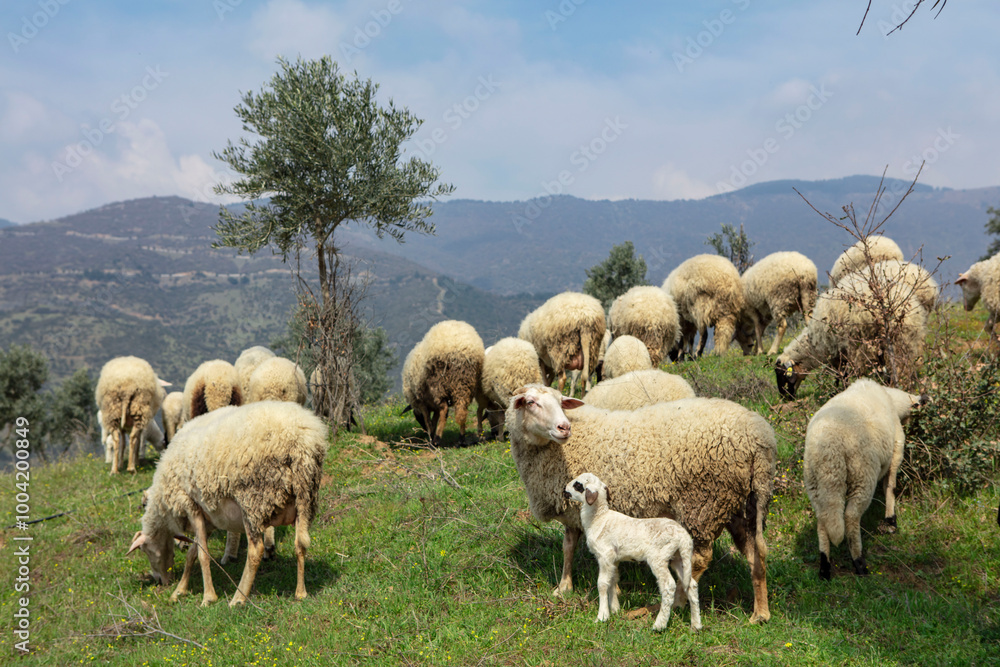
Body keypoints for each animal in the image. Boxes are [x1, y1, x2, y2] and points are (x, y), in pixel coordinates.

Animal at [126, 401, 327, 607]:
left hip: (253, 500)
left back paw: (238, 598)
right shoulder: (210, 518)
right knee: (300, 544)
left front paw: (208, 597)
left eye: (146, 551)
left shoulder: (191, 505)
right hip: (305, 499)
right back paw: (300, 592)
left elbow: (202, 554)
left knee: (255, 551)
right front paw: (179, 591)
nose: (161, 581)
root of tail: (302, 444)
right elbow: (193, 552)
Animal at [564, 473, 701, 631]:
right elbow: (613, 581)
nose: (564, 491)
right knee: (691, 585)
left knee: (669, 586)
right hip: (679, 558)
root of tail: (683, 536)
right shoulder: (614, 559)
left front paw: (602, 616)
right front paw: (615, 610)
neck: (599, 518)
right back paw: (696, 625)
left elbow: (602, 584)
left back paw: (659, 625)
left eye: (578, 485)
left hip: (658, 557)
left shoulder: (605, 555)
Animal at [775, 279, 927, 399]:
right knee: (907, 365)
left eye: (782, 375)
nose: (785, 398)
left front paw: (838, 391)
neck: (814, 344)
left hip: (867, 342)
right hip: (905, 339)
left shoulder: (838, 351)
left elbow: (842, 374)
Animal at [804, 379, 927, 579]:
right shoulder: (896, 451)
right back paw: (860, 563)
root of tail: (829, 448)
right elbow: (890, 487)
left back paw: (825, 567)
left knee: (822, 520)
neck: (893, 400)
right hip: (862, 474)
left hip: (814, 481)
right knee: (851, 517)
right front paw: (891, 519)